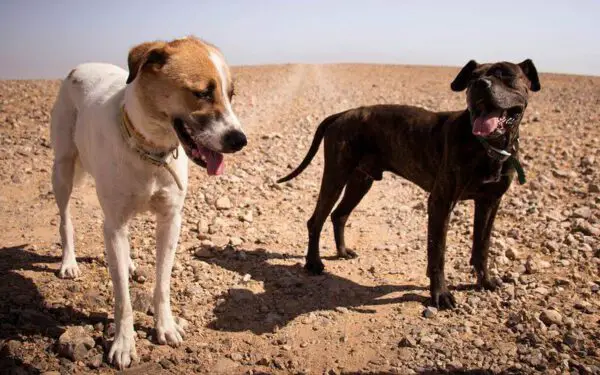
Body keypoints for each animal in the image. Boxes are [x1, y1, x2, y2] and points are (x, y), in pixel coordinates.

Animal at [51, 36, 246, 368]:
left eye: (231, 94)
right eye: (202, 93)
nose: (240, 140)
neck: (151, 151)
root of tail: (80, 67)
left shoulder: (170, 220)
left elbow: (162, 283)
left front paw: (165, 327)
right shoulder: (115, 224)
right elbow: (123, 299)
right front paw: (123, 344)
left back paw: (128, 264)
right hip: (62, 170)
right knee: (66, 220)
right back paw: (69, 263)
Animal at [278, 58, 540, 310]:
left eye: (506, 74)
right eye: (472, 78)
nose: (479, 84)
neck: (488, 147)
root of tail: (343, 113)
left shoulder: (489, 203)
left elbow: (481, 247)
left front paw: (485, 281)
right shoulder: (440, 202)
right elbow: (437, 253)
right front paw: (440, 294)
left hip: (360, 182)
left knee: (338, 215)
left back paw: (342, 251)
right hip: (336, 176)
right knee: (316, 220)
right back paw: (313, 263)